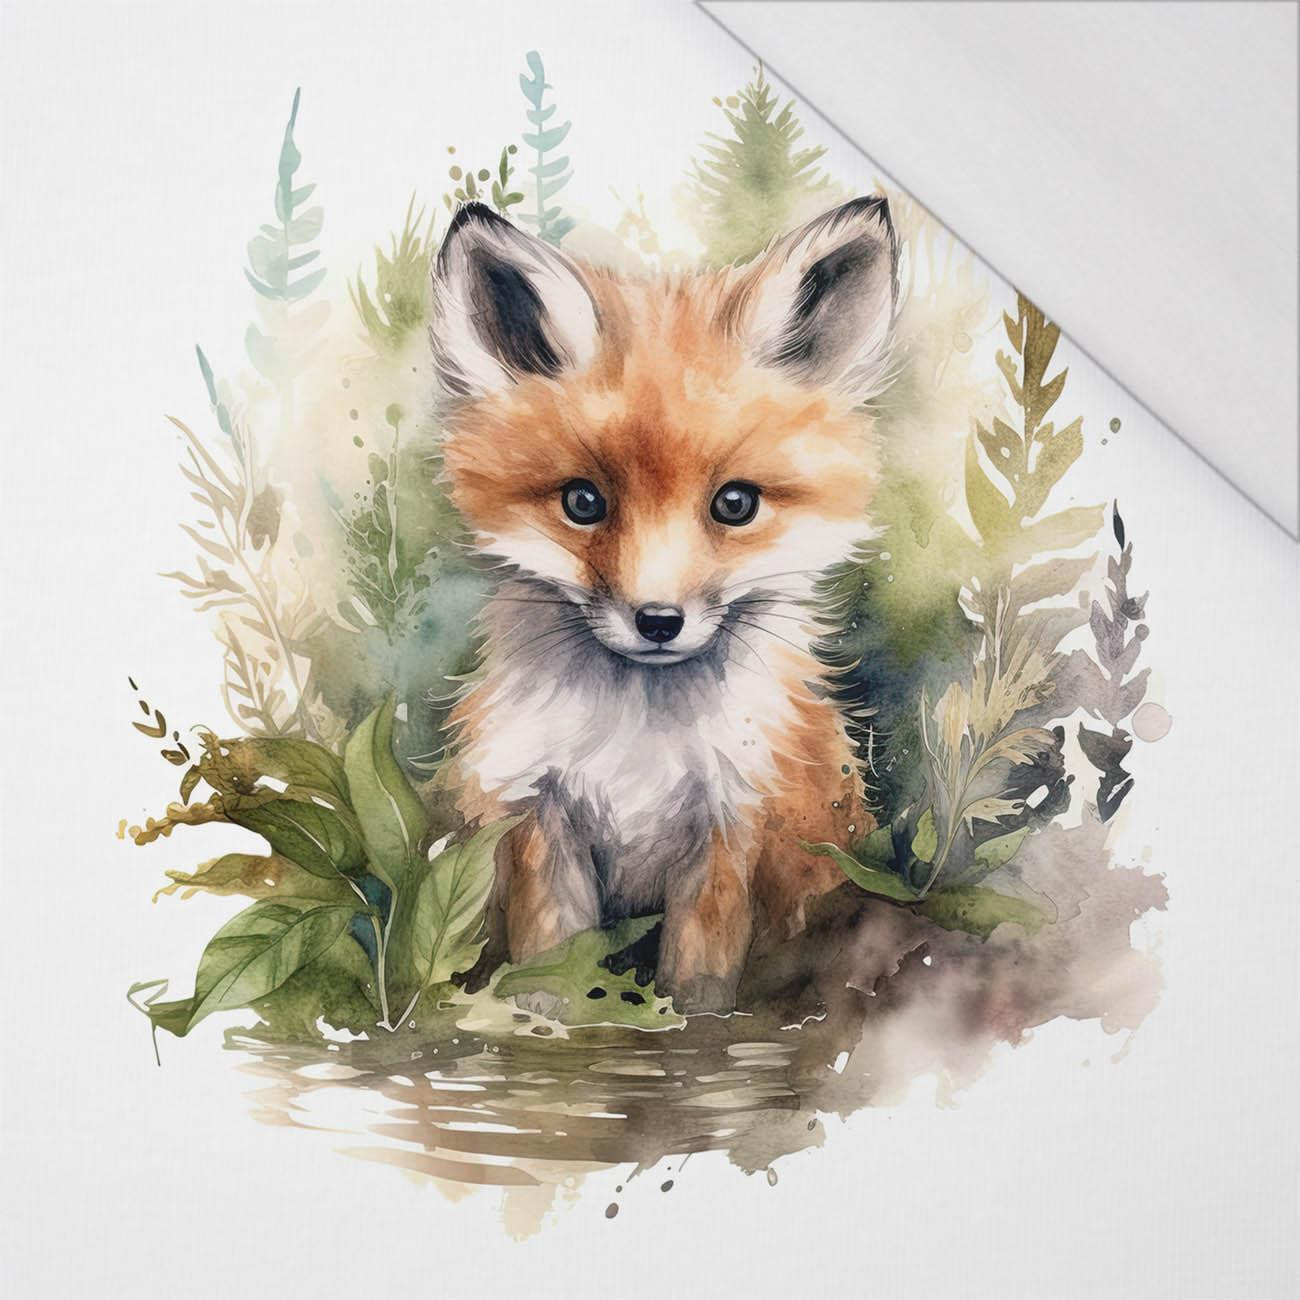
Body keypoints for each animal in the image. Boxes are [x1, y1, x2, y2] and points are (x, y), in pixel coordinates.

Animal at [430, 195, 898, 1015]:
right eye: (583, 502)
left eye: (735, 503)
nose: (658, 621)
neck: (637, 745)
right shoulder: (540, 818)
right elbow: (547, 973)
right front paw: (542, 1033)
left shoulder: (732, 826)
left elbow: (698, 991)